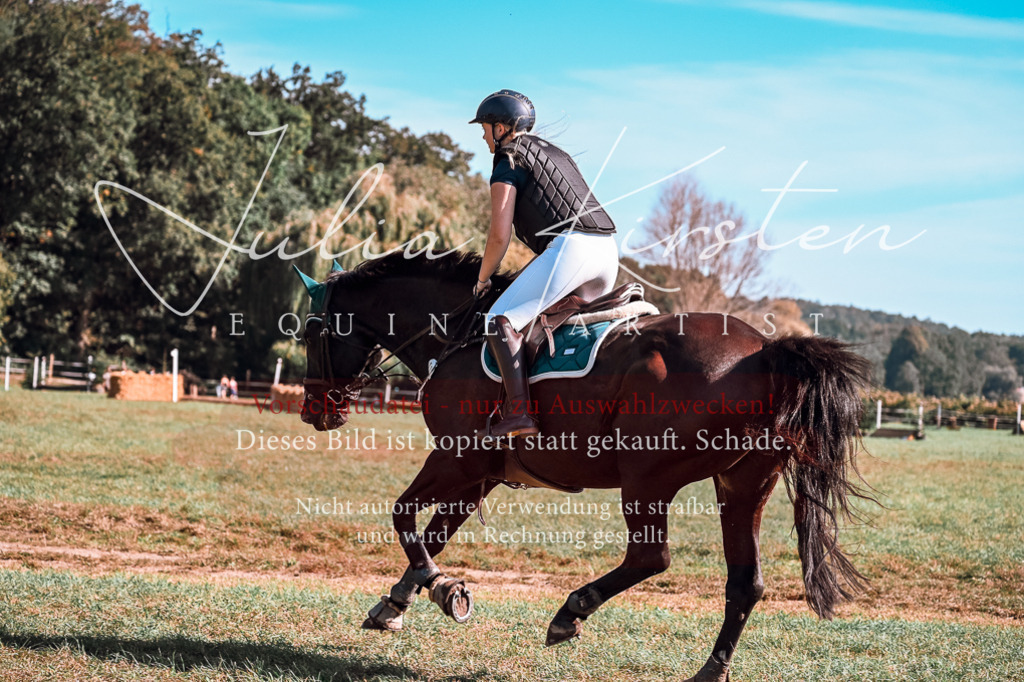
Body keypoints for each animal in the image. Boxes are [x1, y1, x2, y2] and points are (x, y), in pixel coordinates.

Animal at [295, 250, 872, 682]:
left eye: (308, 332)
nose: (312, 411)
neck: (457, 332)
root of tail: (764, 351)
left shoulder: (456, 458)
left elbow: (402, 516)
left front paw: (444, 589)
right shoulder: (482, 473)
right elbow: (432, 535)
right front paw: (398, 602)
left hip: (647, 477)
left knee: (651, 557)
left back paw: (570, 613)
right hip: (743, 484)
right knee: (745, 582)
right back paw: (710, 671)